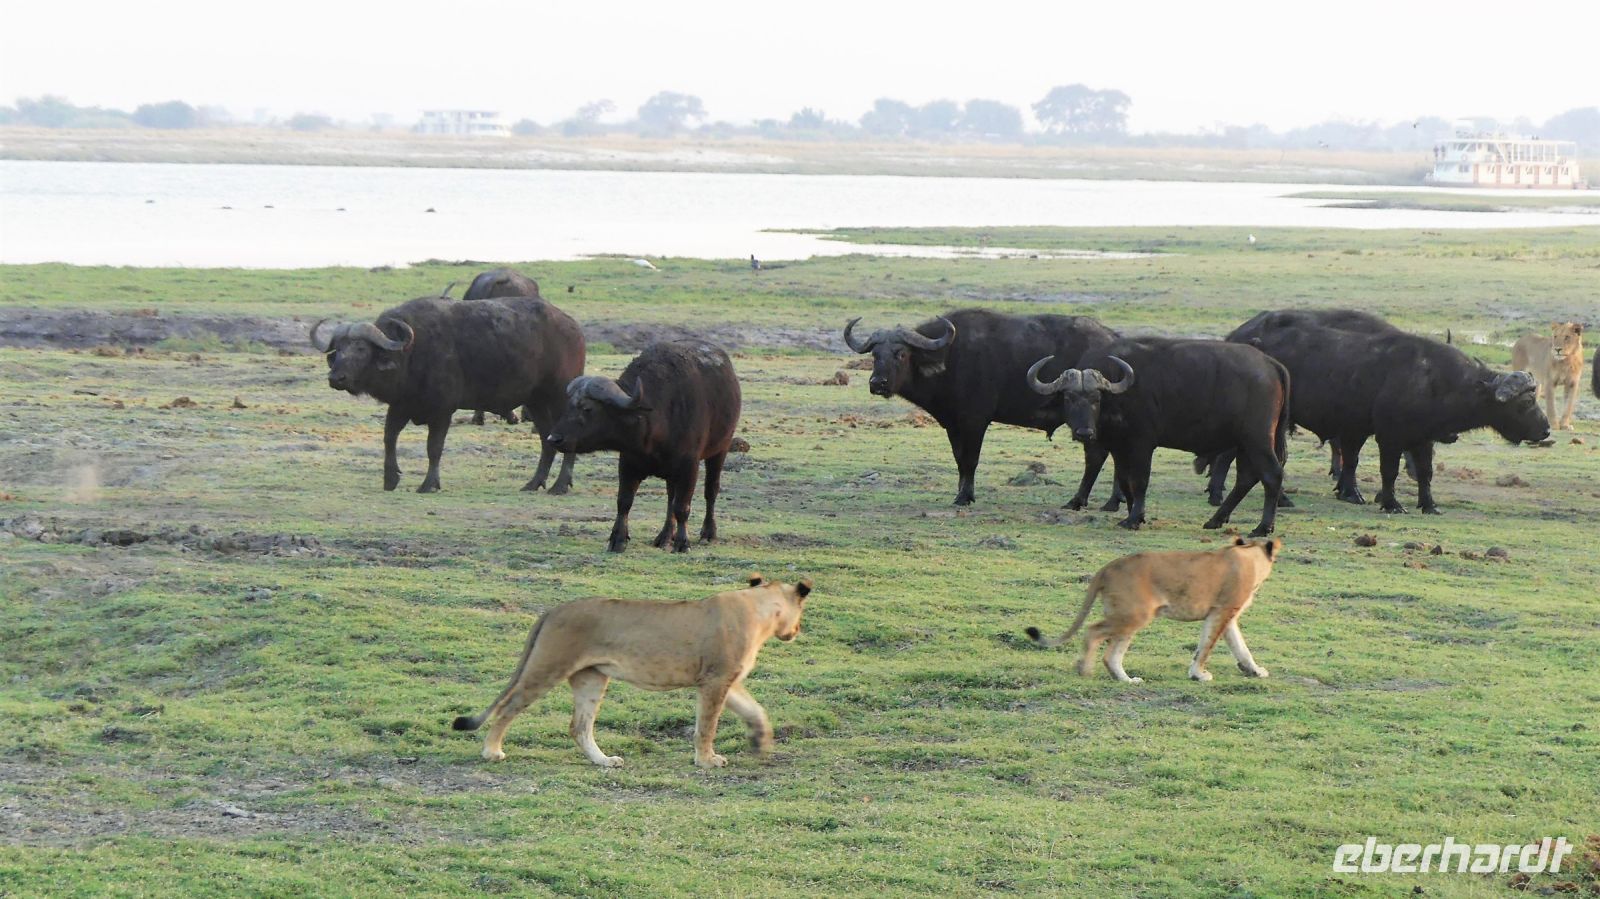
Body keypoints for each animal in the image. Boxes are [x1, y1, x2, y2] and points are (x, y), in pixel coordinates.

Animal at [452, 574, 812, 768]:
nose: (796, 631)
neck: (761, 608)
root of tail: (553, 610)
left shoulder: (726, 679)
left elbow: (755, 709)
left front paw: (761, 741)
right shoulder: (715, 679)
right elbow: (707, 726)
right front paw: (707, 760)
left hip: (592, 677)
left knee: (579, 726)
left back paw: (604, 761)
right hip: (547, 666)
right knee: (508, 708)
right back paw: (492, 751)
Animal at [1025, 537, 1282, 683]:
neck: (1250, 555)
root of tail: (1106, 567)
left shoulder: (1226, 615)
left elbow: (1240, 647)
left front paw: (1254, 671)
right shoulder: (1222, 610)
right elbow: (1206, 647)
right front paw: (1198, 675)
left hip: (1128, 616)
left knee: (1111, 655)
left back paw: (1126, 680)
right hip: (1135, 614)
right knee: (1092, 631)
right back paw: (1084, 670)